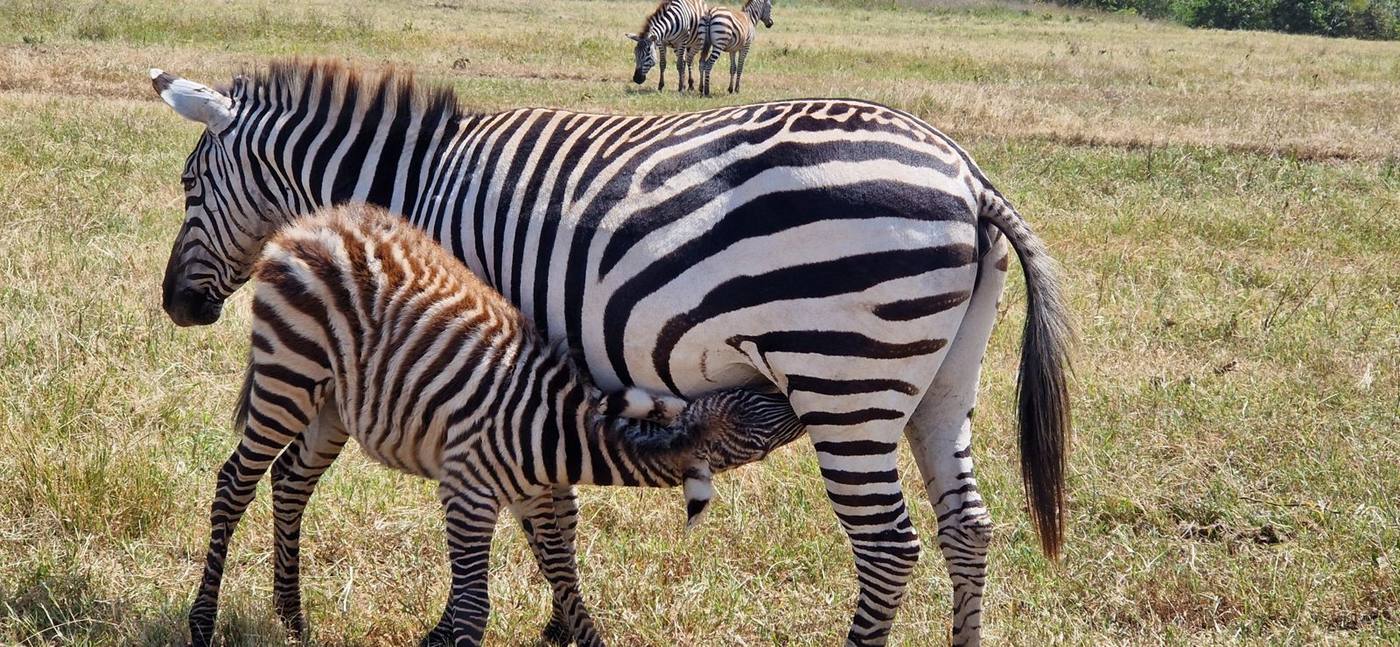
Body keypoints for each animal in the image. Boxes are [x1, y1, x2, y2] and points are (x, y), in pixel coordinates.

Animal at [192, 203, 806, 647]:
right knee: (235, 481)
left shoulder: (533, 496)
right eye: (758, 431)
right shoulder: (468, 491)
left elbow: (562, 572)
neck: (558, 436)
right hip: (288, 372)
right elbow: (474, 609)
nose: (789, 391)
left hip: (331, 402)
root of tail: (313, 222)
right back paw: (203, 622)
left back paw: (291, 619)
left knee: (290, 479)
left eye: (750, 400)